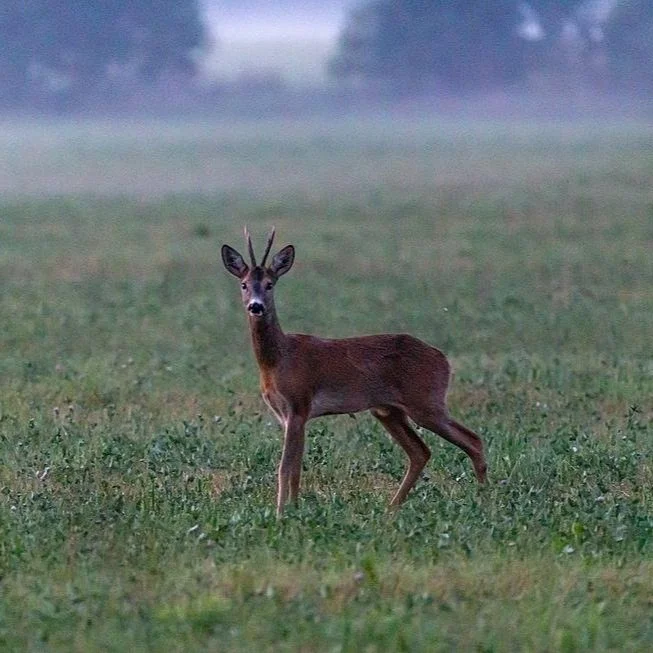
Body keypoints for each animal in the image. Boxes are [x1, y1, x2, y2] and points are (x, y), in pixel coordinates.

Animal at [221, 228, 487, 516]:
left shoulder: (299, 404)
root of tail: (443, 359)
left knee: (473, 440)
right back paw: (392, 507)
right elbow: (295, 468)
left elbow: (285, 468)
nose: (256, 306)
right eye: (244, 284)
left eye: (270, 284)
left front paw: (282, 513)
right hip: (388, 410)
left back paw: (484, 498)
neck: (278, 359)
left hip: (426, 402)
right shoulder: (288, 415)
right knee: (421, 452)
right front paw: (293, 508)